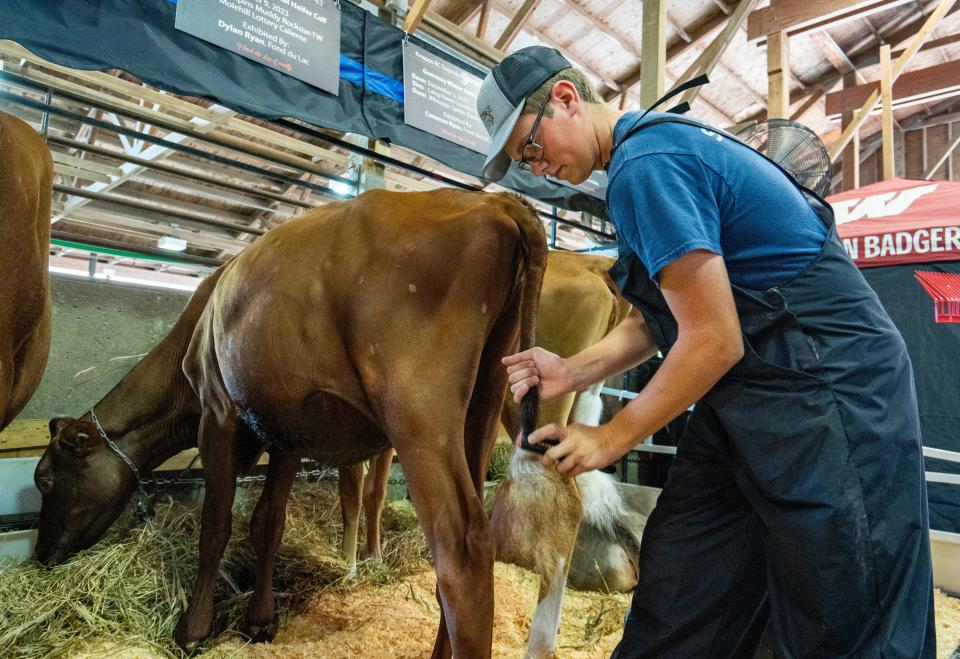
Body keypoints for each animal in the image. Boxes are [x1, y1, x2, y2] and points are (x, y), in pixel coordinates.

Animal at [175, 187, 544, 656]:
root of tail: (496, 202)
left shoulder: (217, 409)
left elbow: (215, 523)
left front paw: (194, 629)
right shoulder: (286, 435)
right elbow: (268, 520)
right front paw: (259, 619)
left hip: (418, 411)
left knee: (463, 545)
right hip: (487, 390)